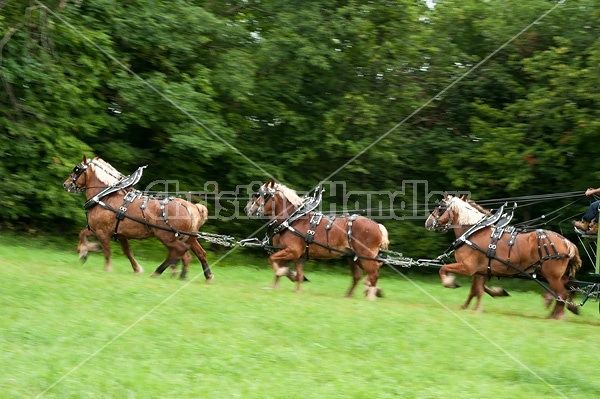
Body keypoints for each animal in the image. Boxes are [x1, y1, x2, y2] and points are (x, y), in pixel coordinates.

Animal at [62, 156, 213, 282]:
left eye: (77, 170)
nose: (66, 184)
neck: (105, 197)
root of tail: (190, 206)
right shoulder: (117, 234)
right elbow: (126, 252)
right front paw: (136, 269)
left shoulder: (102, 232)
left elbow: (106, 251)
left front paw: (104, 266)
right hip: (188, 237)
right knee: (199, 254)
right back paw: (205, 276)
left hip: (166, 237)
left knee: (183, 252)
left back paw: (167, 273)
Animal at [244, 180, 390, 298]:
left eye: (258, 195)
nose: (246, 209)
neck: (292, 219)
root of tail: (377, 226)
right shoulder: (297, 255)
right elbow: (298, 273)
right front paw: (291, 288)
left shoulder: (293, 251)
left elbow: (273, 261)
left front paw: (285, 274)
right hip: (353, 257)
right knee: (359, 275)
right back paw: (350, 295)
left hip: (365, 256)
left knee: (373, 274)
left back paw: (370, 296)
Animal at [424, 195, 580, 320]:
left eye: (440, 208)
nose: (428, 222)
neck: (472, 232)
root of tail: (567, 242)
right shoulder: (481, 271)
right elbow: (476, 290)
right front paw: (472, 307)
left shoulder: (467, 267)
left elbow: (443, 269)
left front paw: (450, 283)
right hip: (554, 275)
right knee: (569, 285)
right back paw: (558, 308)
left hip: (551, 275)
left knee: (562, 294)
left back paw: (558, 316)